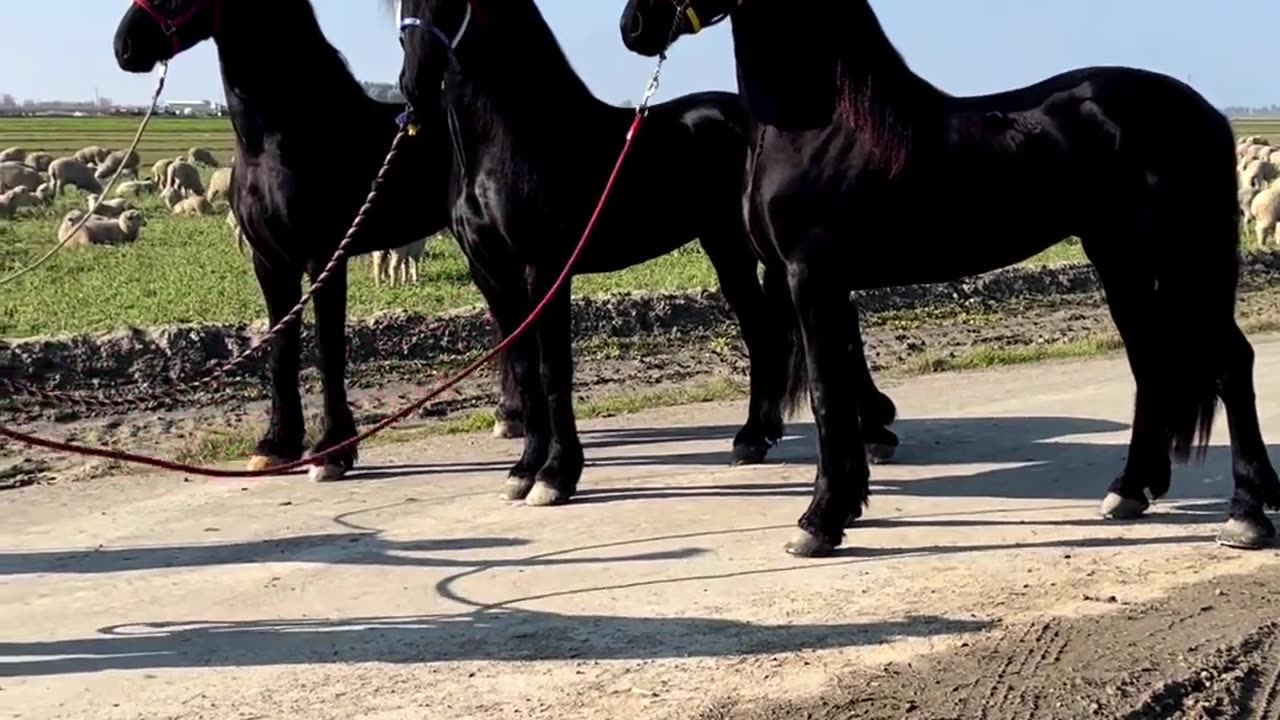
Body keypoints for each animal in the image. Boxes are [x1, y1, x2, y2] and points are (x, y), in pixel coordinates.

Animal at [111, 1, 524, 481]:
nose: (125, 46)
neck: (288, 135)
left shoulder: (324, 259)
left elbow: (328, 351)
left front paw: (331, 450)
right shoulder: (271, 263)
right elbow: (282, 350)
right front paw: (276, 445)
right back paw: (510, 415)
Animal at [394, 0, 896, 504]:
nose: (415, 84)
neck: (517, 142)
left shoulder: (546, 269)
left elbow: (553, 370)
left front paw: (556, 475)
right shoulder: (491, 274)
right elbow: (523, 368)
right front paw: (524, 470)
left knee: (830, 326)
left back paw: (875, 431)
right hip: (728, 247)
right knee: (763, 331)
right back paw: (754, 437)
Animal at [614, 0, 1274, 556]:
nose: (633, 26)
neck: (821, 124)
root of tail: (1205, 114)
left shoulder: (811, 278)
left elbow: (828, 395)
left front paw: (819, 522)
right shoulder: (828, 286)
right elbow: (844, 386)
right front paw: (848, 501)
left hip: (1182, 263)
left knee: (1229, 363)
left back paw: (1247, 514)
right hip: (1123, 263)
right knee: (1152, 364)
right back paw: (1132, 489)